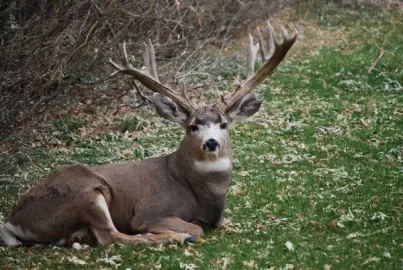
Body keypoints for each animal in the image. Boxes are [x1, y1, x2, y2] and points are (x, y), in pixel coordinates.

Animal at [0, 22, 296, 248]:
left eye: (223, 124)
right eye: (192, 126)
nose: (211, 143)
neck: (203, 195)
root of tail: (12, 221)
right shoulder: (150, 211)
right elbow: (194, 228)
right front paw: (184, 232)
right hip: (84, 191)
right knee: (112, 237)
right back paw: (179, 238)